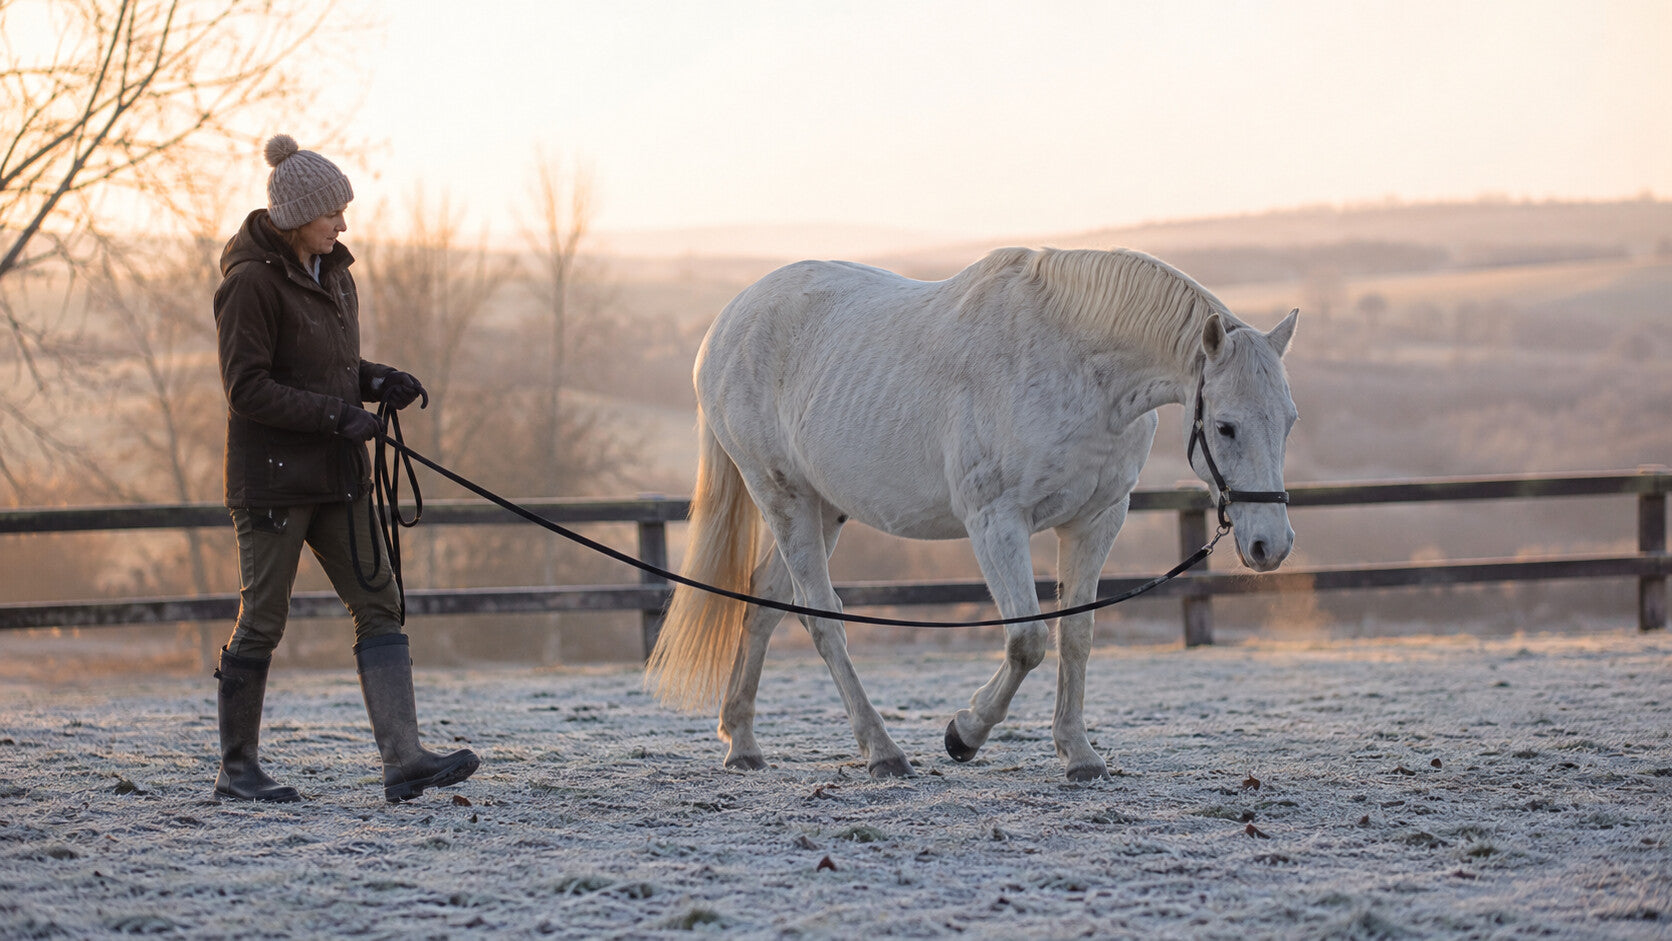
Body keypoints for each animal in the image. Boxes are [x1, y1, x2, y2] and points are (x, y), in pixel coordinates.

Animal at [645, 246, 1299, 781]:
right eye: (1225, 425)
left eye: (1289, 421)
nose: (1270, 545)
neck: (1075, 363)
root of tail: (726, 324)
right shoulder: (995, 523)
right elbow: (1028, 641)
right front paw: (964, 734)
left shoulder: (1096, 520)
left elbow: (1077, 636)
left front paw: (1079, 754)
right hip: (783, 499)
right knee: (823, 622)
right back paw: (883, 753)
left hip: (821, 508)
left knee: (764, 607)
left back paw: (743, 742)